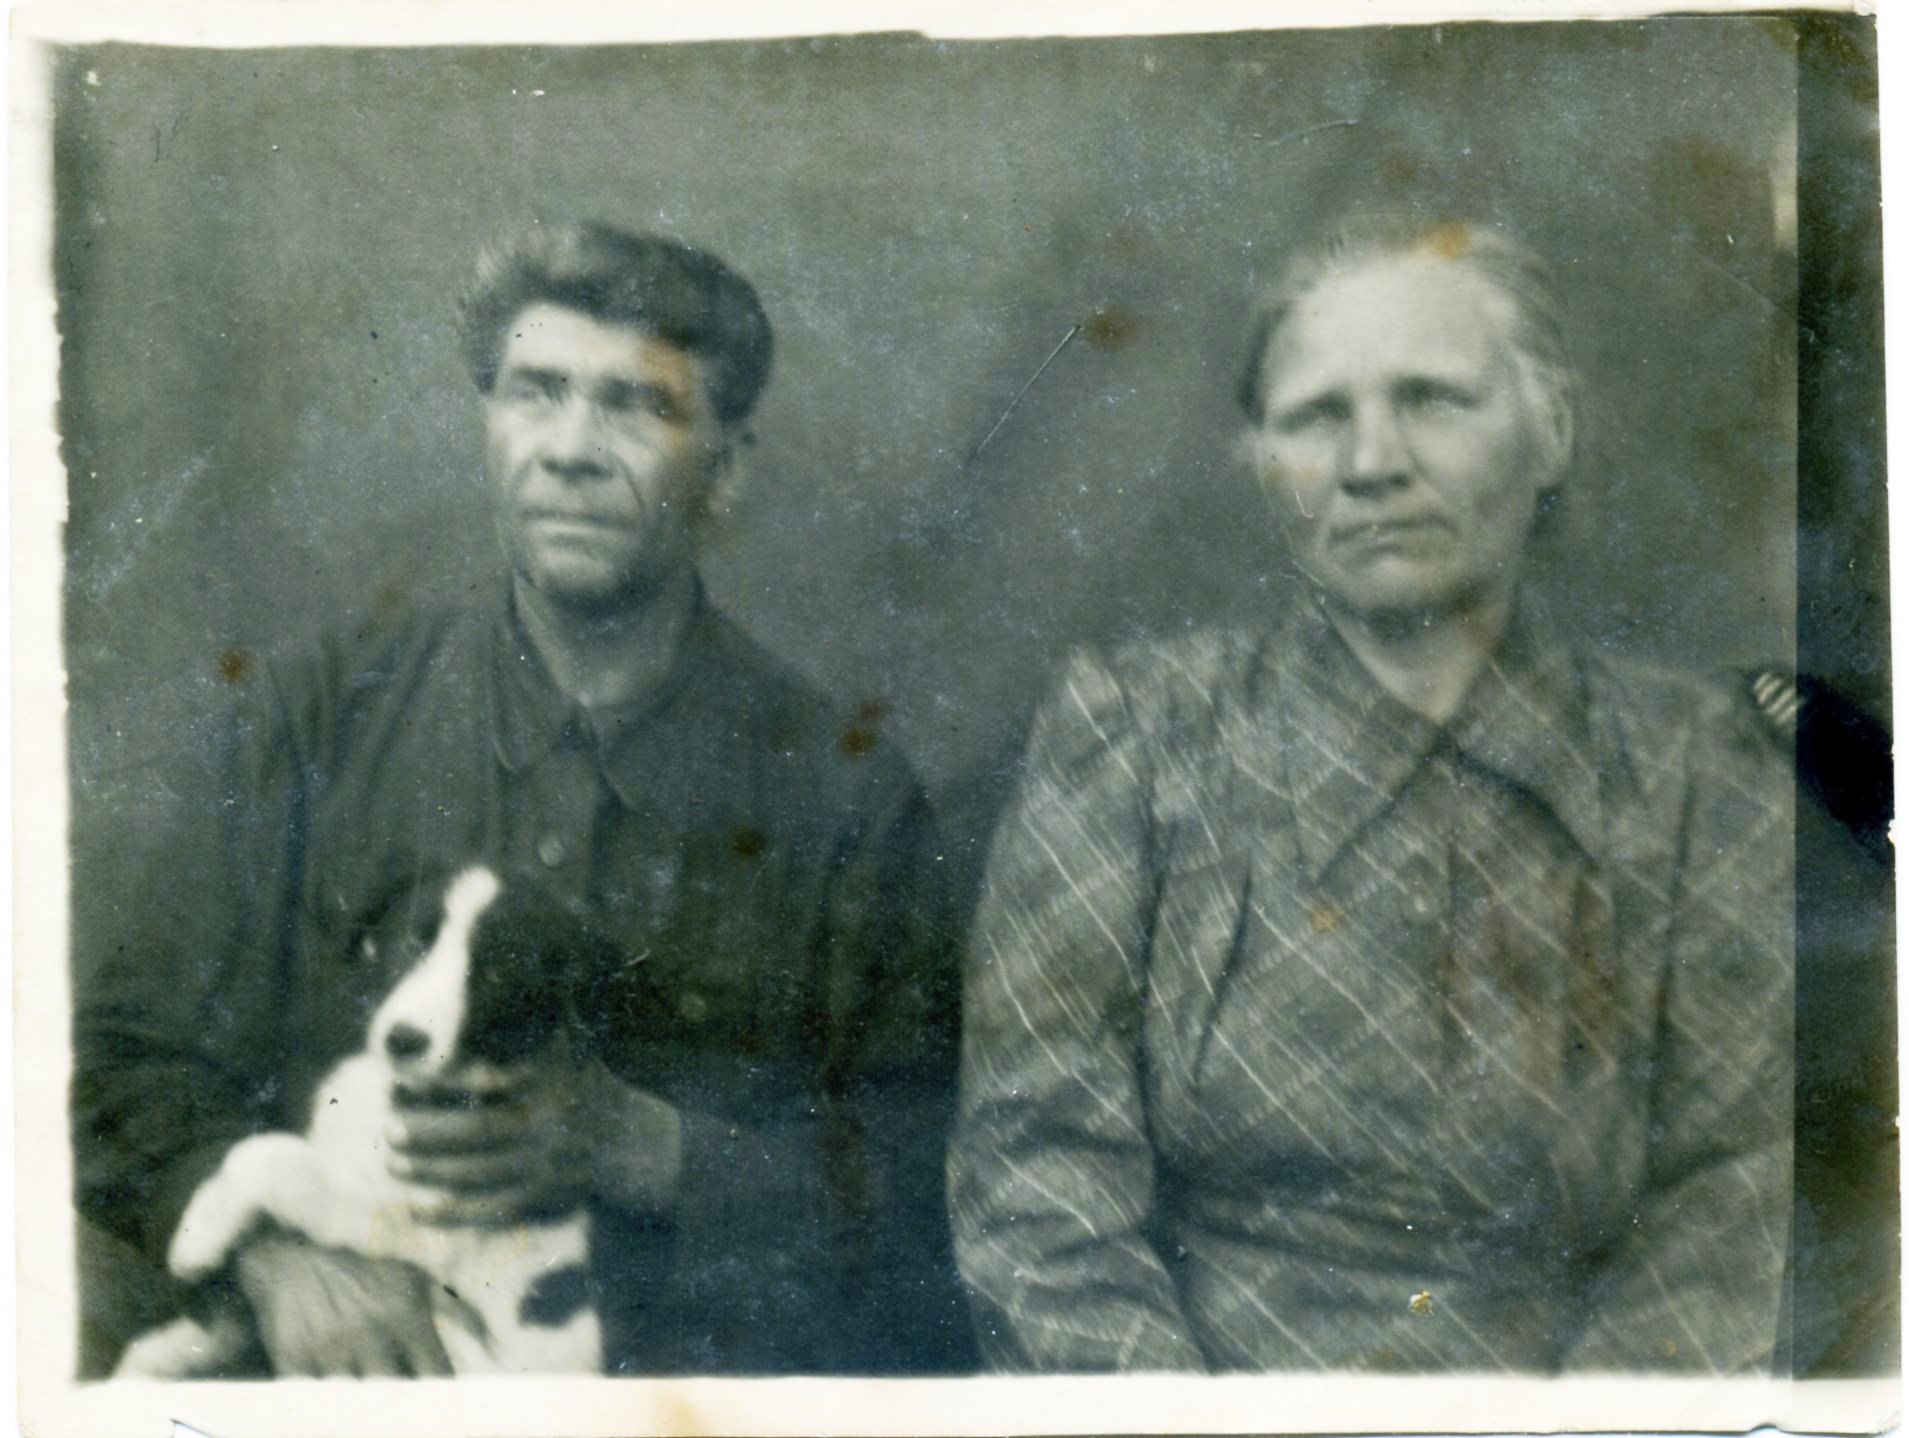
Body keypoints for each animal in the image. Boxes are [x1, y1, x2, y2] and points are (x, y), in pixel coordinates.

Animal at [114, 862, 626, 1377]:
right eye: (414, 941)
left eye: (498, 971)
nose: (405, 1040)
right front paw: (161, 1349)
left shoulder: (408, 1227)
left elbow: (267, 1156)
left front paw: (196, 1237)